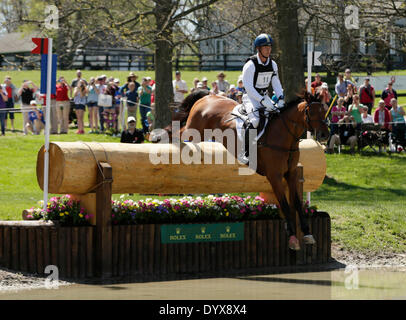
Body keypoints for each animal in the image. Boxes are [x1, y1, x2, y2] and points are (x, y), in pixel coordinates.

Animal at [162, 89, 330, 250]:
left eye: (324, 111)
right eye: (311, 112)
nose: (324, 135)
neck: (284, 137)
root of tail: (208, 97)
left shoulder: (292, 173)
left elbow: (297, 203)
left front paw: (307, 233)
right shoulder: (274, 176)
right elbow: (285, 205)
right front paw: (293, 238)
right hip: (194, 131)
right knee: (179, 131)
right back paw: (164, 137)